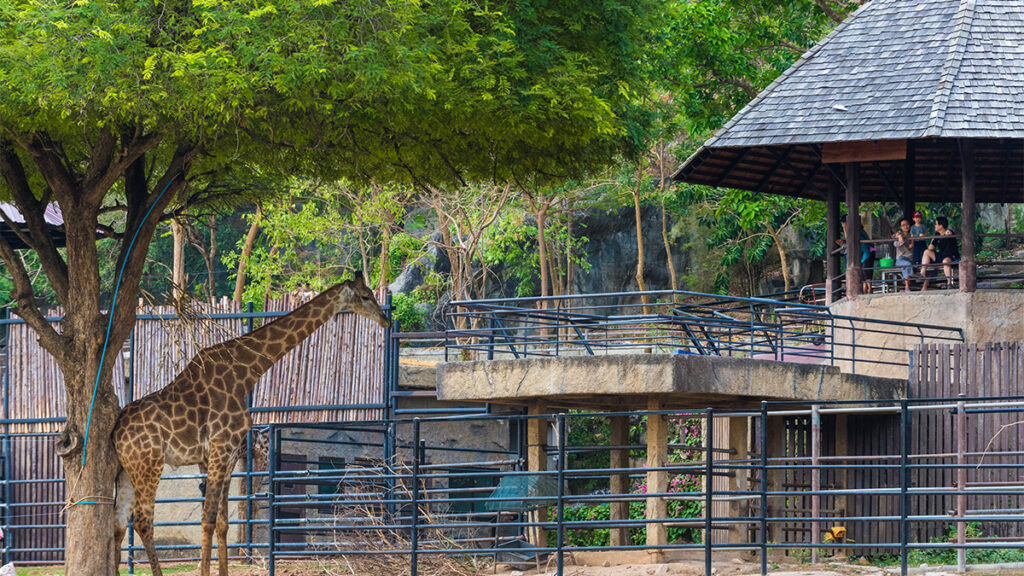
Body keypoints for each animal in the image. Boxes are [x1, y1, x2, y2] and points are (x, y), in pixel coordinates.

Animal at [112, 276, 389, 569]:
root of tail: (116, 433)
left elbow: (222, 523)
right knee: (143, 522)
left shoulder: (224, 456)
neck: (245, 374)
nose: (385, 319)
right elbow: (208, 520)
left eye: (372, 294)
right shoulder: (221, 449)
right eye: (365, 296)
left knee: (118, 523)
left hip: (127, 470)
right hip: (149, 465)